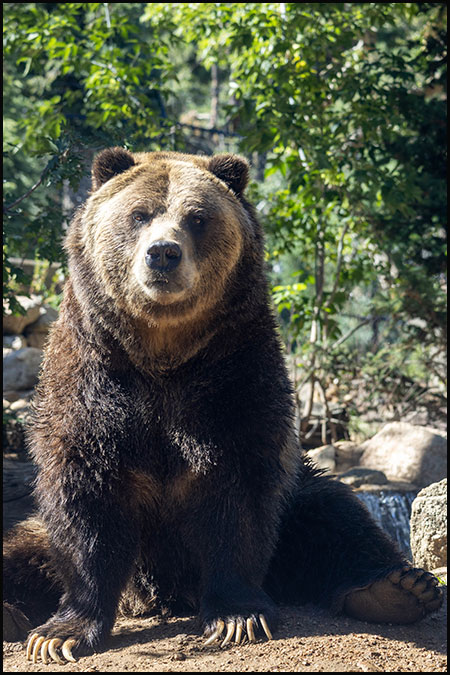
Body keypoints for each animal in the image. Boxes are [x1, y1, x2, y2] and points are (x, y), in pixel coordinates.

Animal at [1, 149, 442, 664]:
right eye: (139, 214)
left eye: (197, 218)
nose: (163, 253)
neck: (162, 355)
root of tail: (152, 597)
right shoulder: (94, 380)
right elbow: (87, 496)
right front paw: (60, 634)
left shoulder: (232, 377)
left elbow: (237, 491)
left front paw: (236, 617)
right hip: (38, 532)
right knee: (20, 551)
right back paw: (12, 614)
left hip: (296, 495)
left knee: (334, 511)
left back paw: (398, 589)